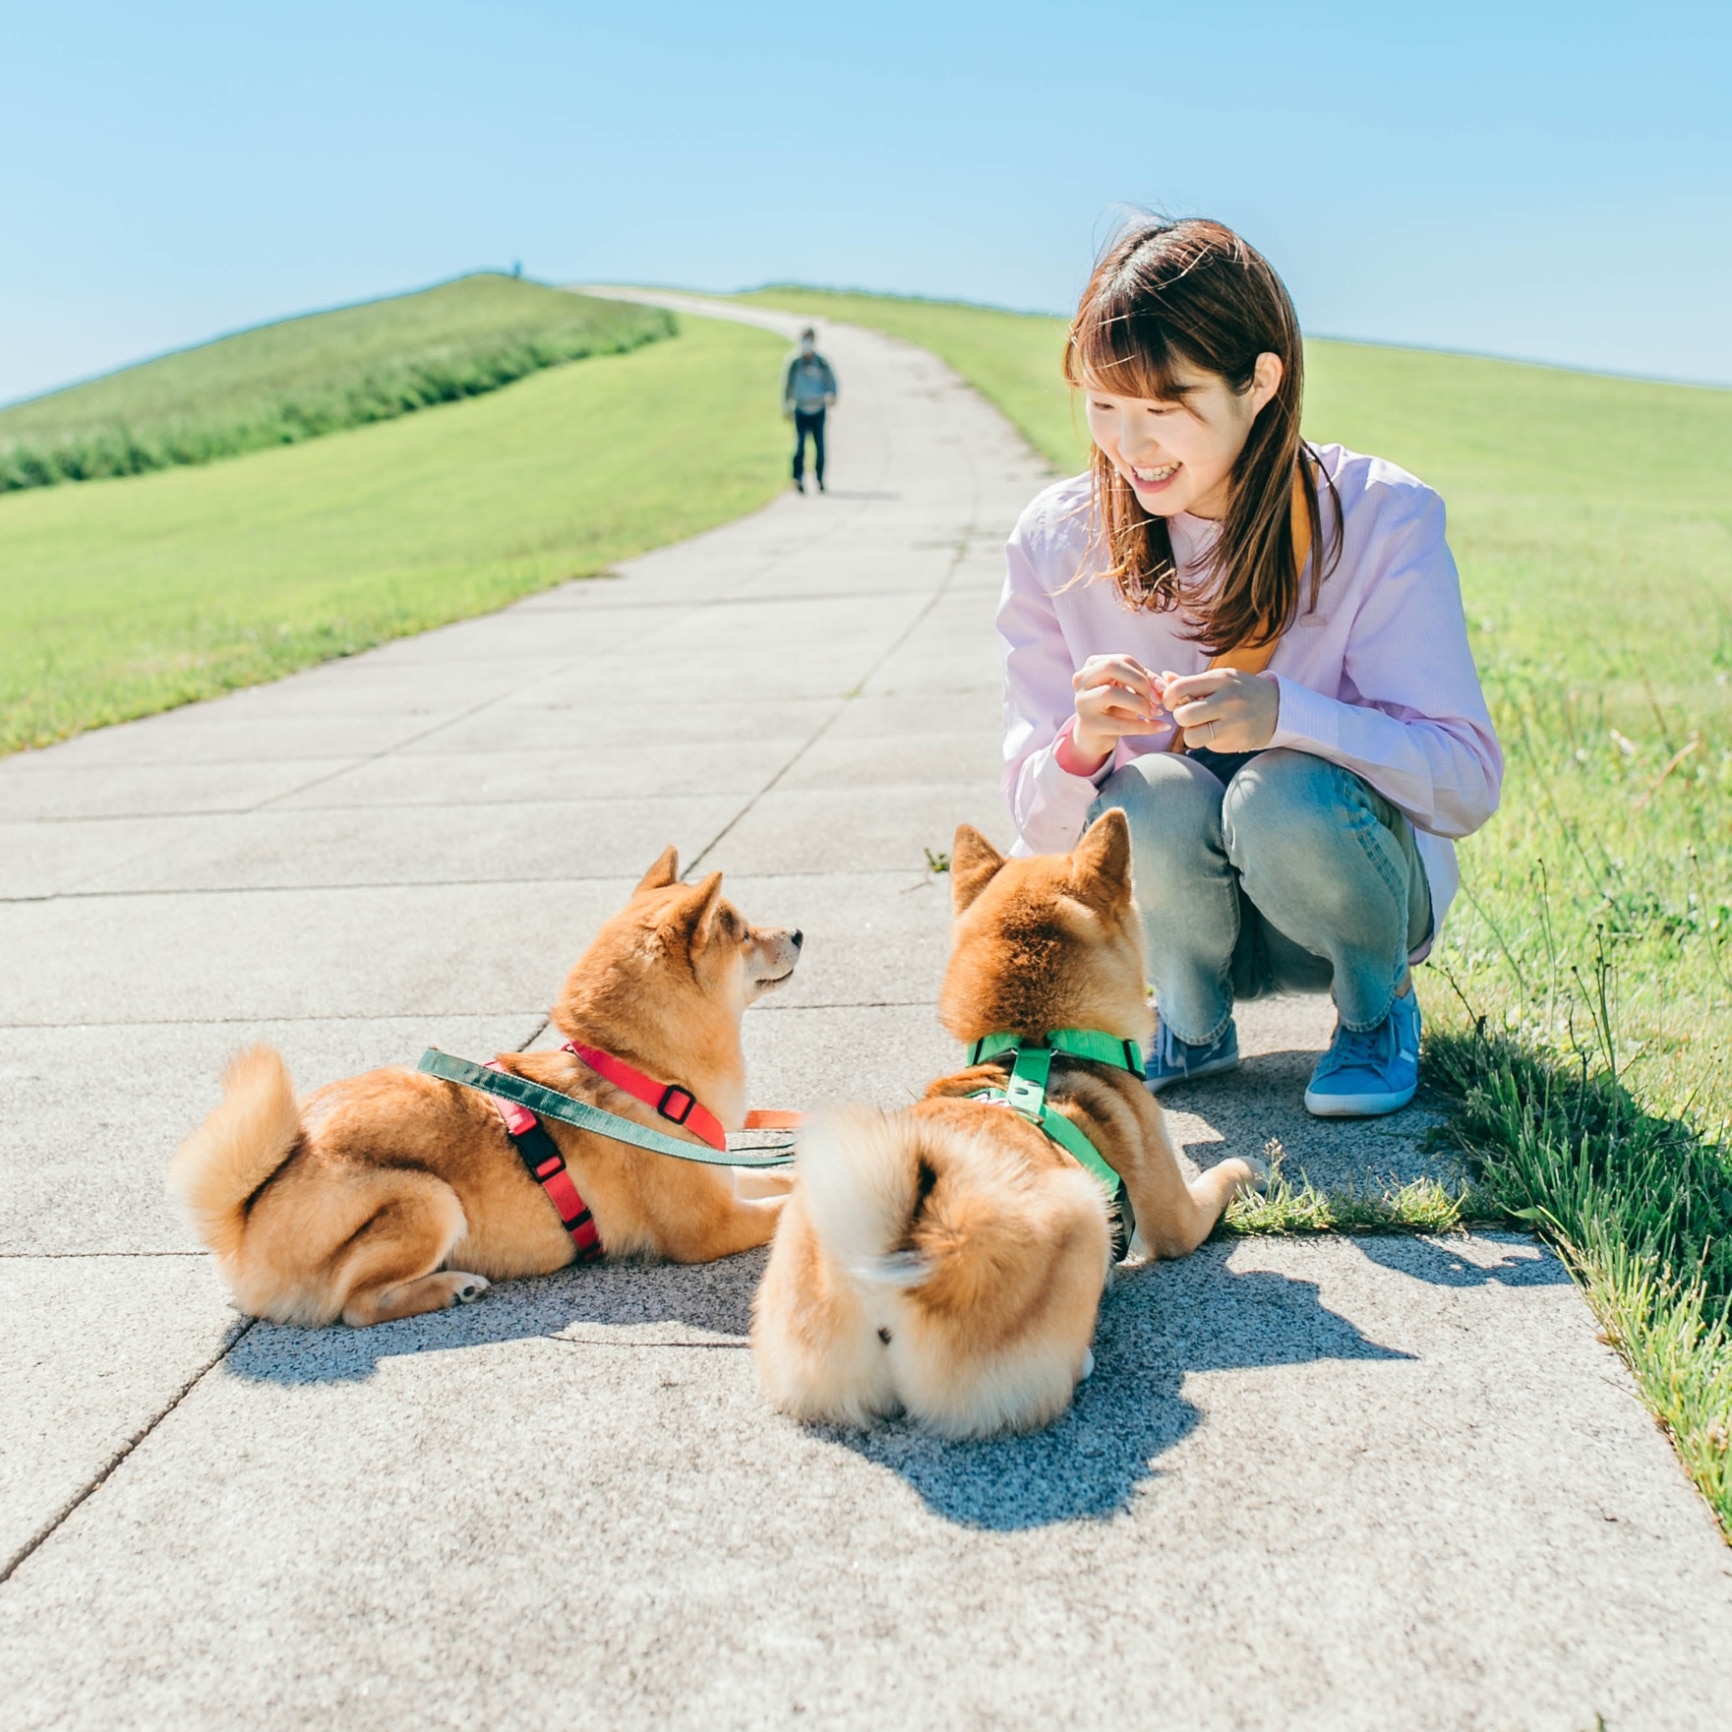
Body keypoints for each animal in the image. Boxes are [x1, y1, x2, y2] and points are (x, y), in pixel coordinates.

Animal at [168, 852, 803, 1323]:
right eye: (743, 933)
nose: (798, 930)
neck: (631, 1067)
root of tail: (247, 1214)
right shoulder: (709, 1228)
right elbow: (783, 1208)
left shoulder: (721, 1181)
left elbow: (783, 1179)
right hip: (427, 1199)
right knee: (356, 1307)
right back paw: (452, 1288)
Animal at [751, 810, 1267, 1434]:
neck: (1035, 1042)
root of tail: (894, 1259)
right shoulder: (1176, 1219)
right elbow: (1217, 1182)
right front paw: (1249, 1168)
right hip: (1085, 1213)